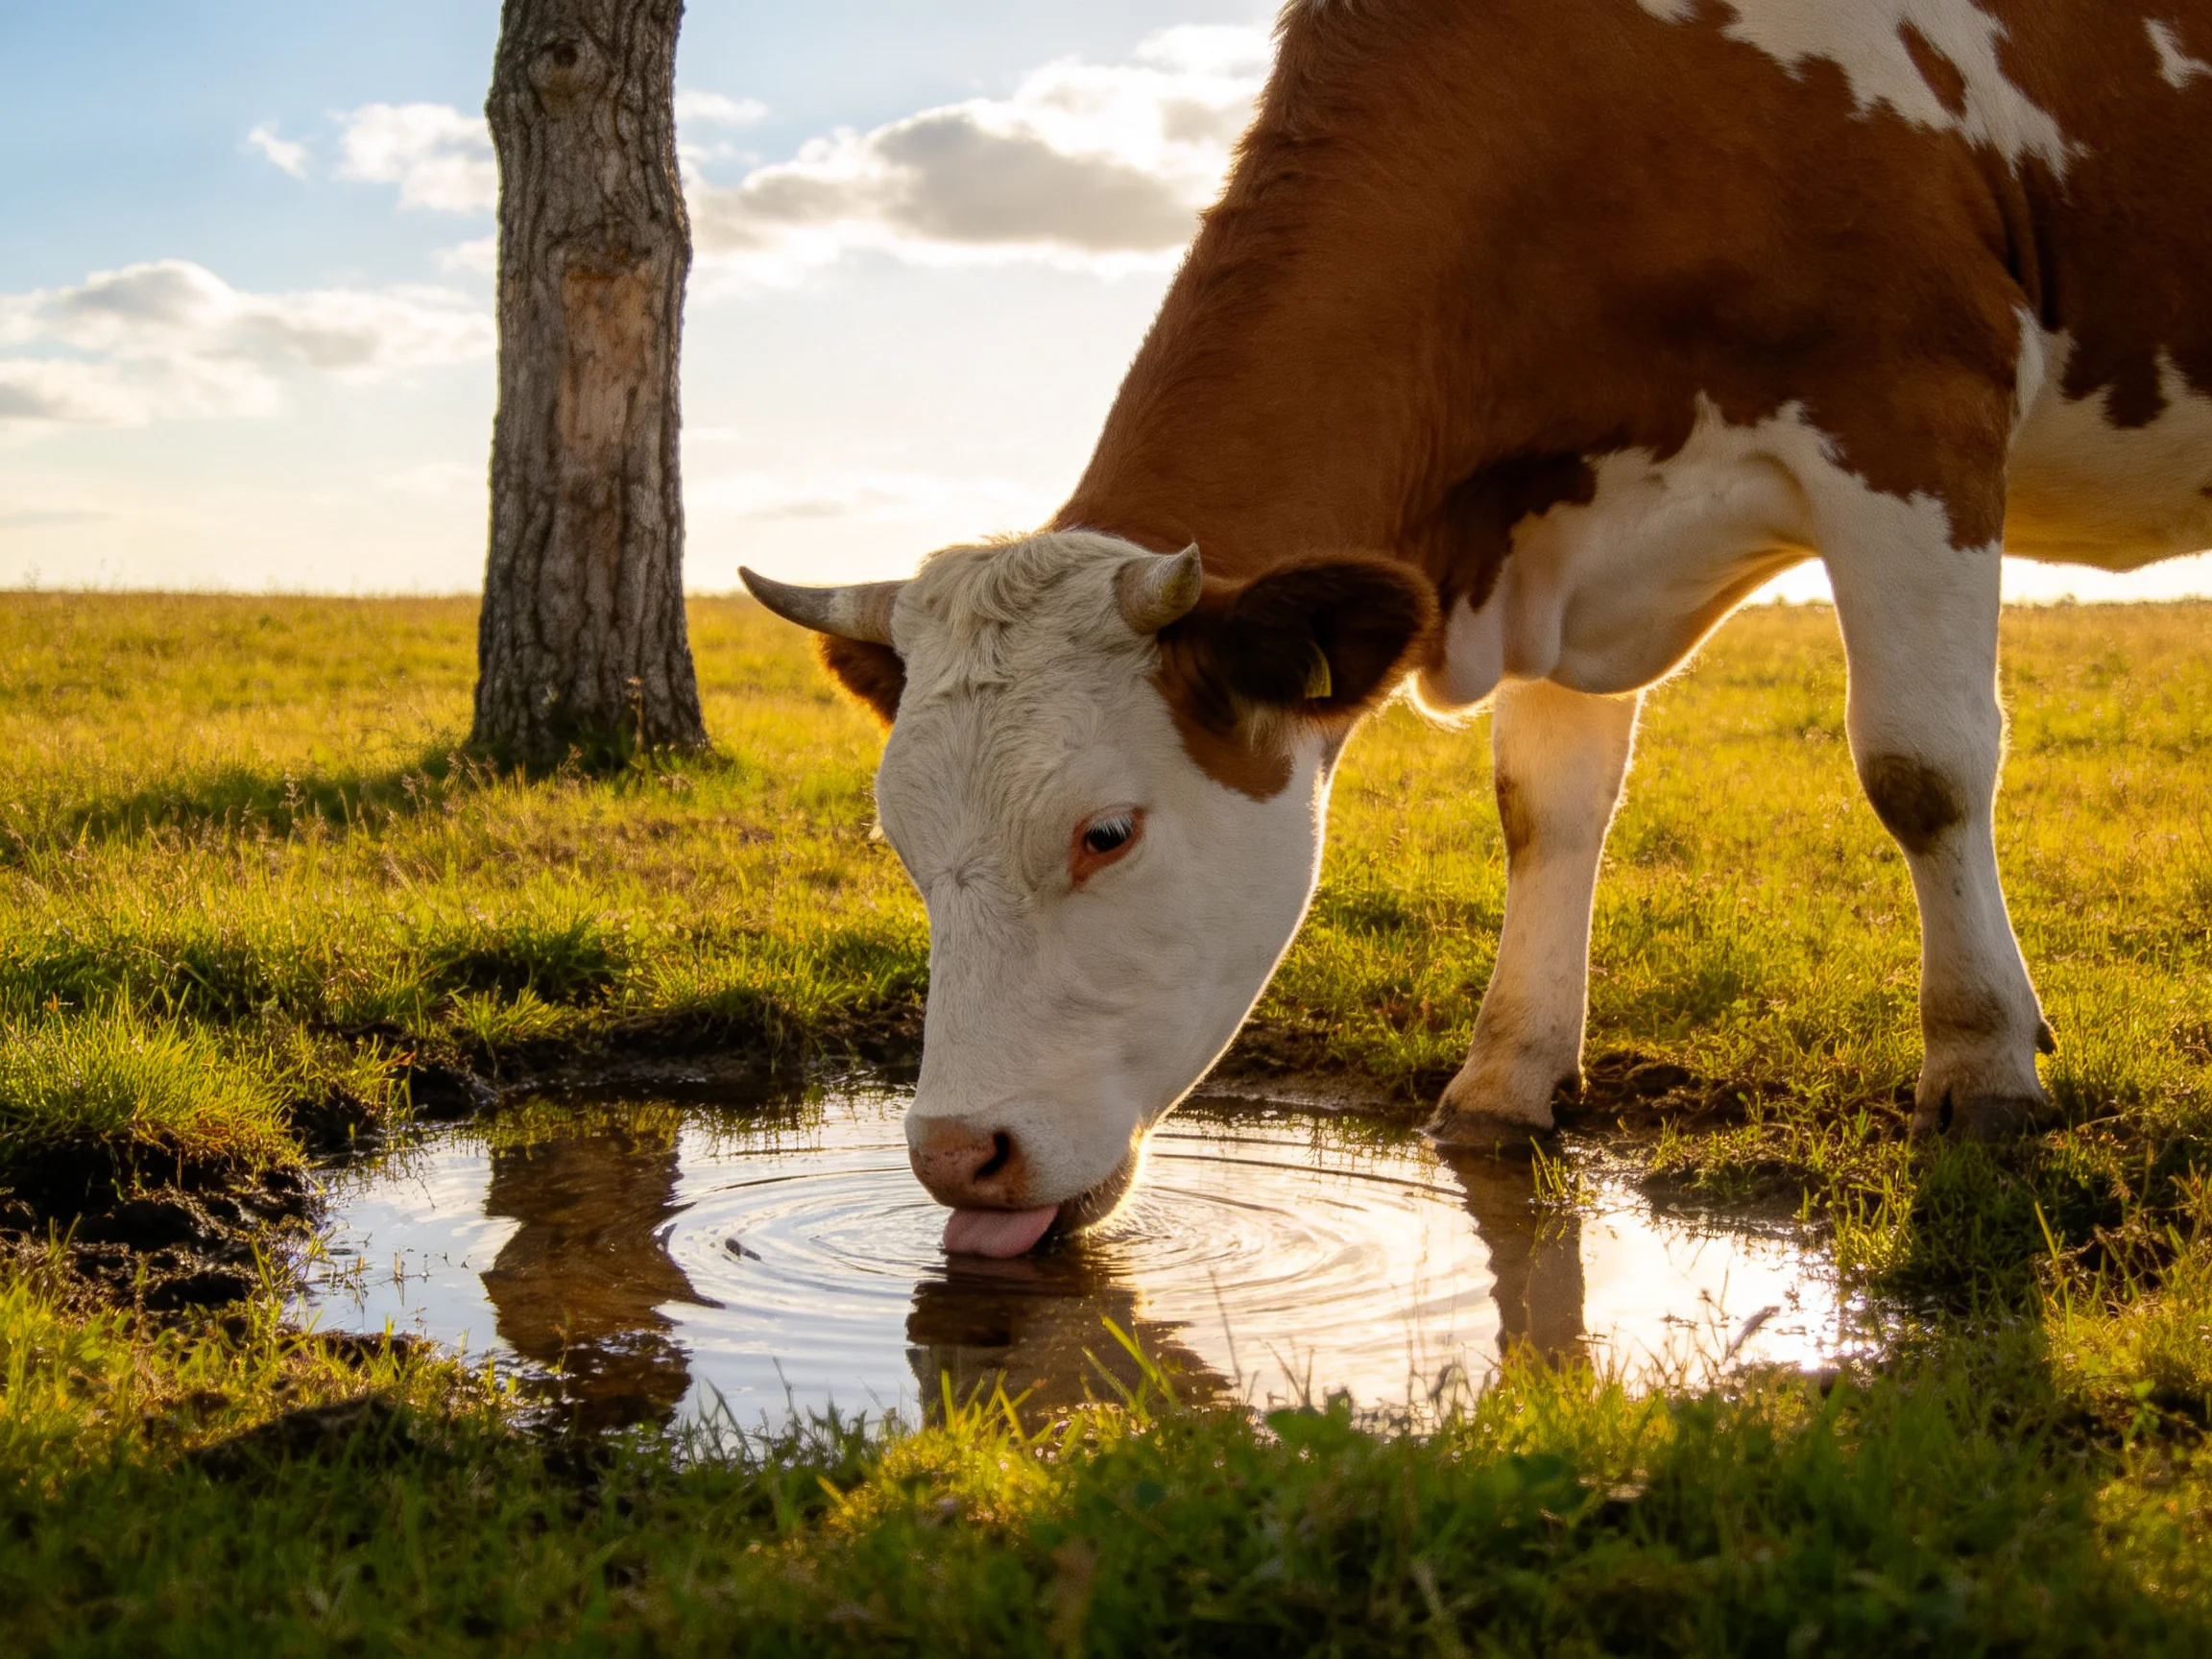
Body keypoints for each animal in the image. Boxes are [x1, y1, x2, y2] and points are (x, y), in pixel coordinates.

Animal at [743, 0, 2212, 1258]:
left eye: (1106, 835)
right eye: (901, 845)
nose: (954, 1156)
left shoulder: (1911, 405)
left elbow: (1922, 766)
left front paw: (1983, 1067)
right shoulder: (1561, 533)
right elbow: (1544, 807)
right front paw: (1509, 1077)